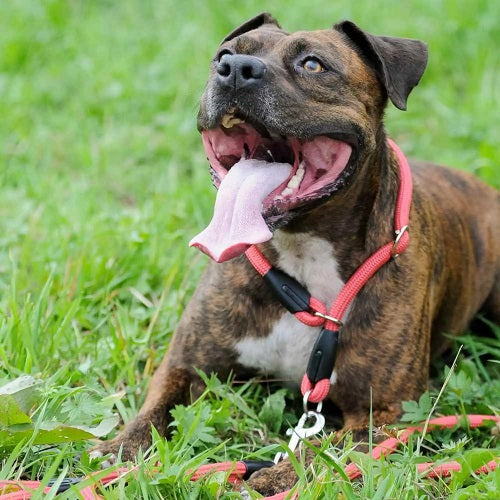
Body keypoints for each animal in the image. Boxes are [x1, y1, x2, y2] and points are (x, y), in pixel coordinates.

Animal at [91, 12, 500, 496]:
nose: (236, 70)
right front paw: (116, 452)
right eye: (224, 55)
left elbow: (326, 449)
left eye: (313, 64)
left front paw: (278, 476)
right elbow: (154, 412)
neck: (302, 259)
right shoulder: (186, 365)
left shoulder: (386, 413)